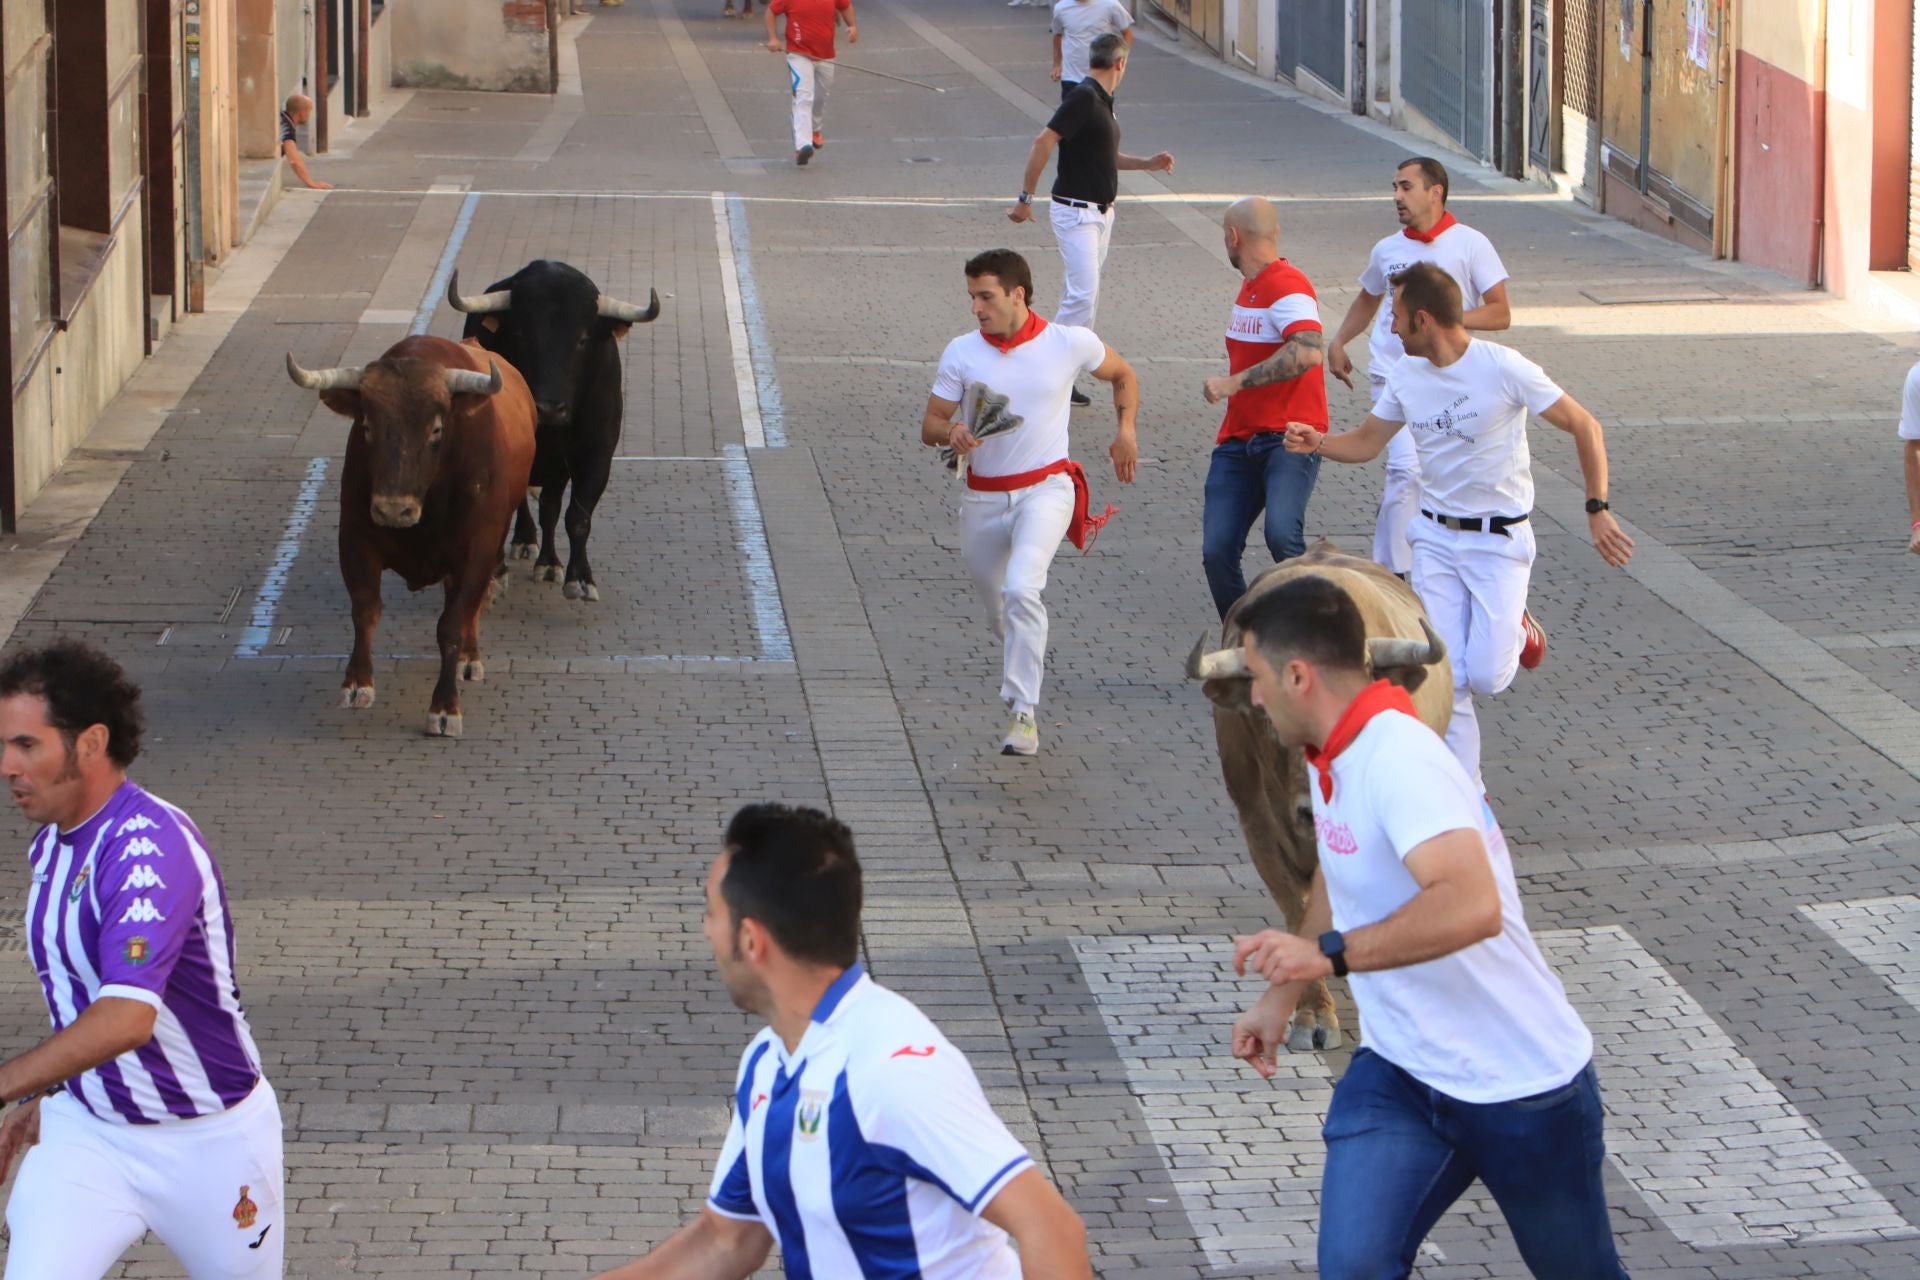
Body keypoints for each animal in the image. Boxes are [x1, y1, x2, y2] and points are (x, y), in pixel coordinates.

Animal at [280, 337, 533, 740]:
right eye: (367, 426)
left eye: (436, 430)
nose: (393, 509)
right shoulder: (355, 539)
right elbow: (365, 609)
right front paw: (357, 683)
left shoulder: (476, 550)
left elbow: (452, 623)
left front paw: (444, 707)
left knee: (472, 607)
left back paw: (469, 657)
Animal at [447, 262, 660, 602]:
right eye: (520, 334)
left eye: (583, 339)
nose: (548, 408)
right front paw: (497, 572)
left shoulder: (596, 456)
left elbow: (576, 516)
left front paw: (578, 578)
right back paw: (524, 540)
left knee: (550, 506)